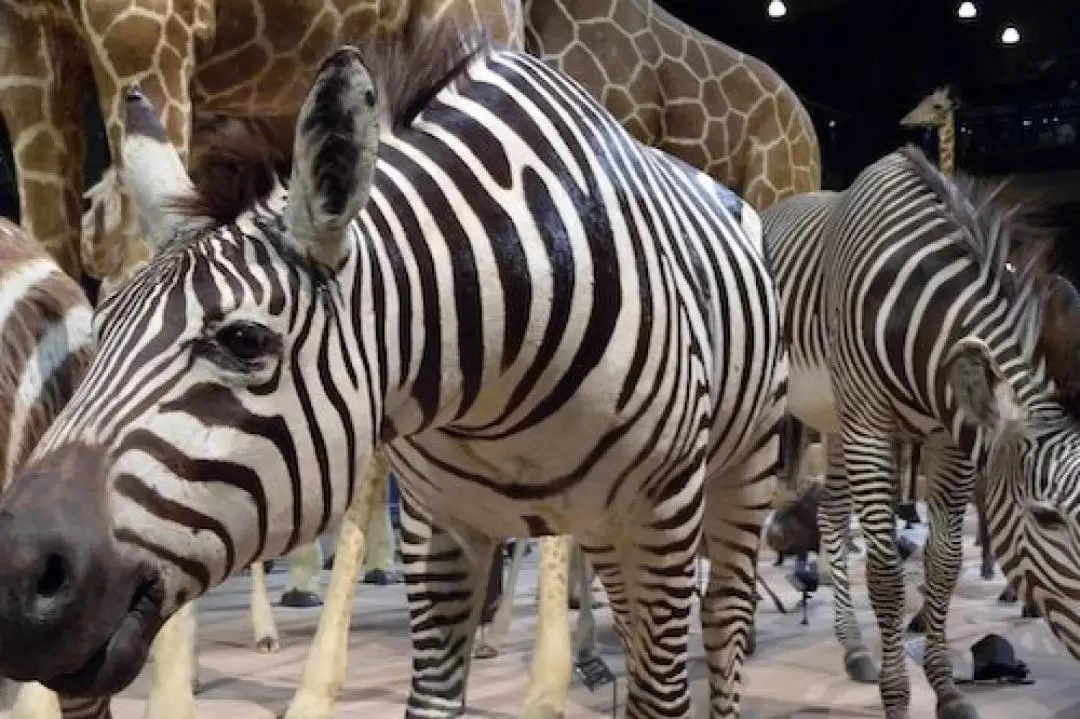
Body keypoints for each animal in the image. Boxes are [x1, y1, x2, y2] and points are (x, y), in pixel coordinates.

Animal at [0, 21, 786, 716]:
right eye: (100, 333)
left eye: (245, 340)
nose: (12, 578)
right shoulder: (439, 525)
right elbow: (433, 695)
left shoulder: (660, 514)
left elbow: (665, 693)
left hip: (733, 482)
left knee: (722, 630)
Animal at [760, 144, 1080, 716]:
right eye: (1046, 517)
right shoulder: (869, 426)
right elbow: (887, 575)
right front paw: (897, 697)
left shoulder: (947, 439)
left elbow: (944, 564)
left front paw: (946, 688)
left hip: (834, 423)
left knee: (832, 517)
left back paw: (852, 647)